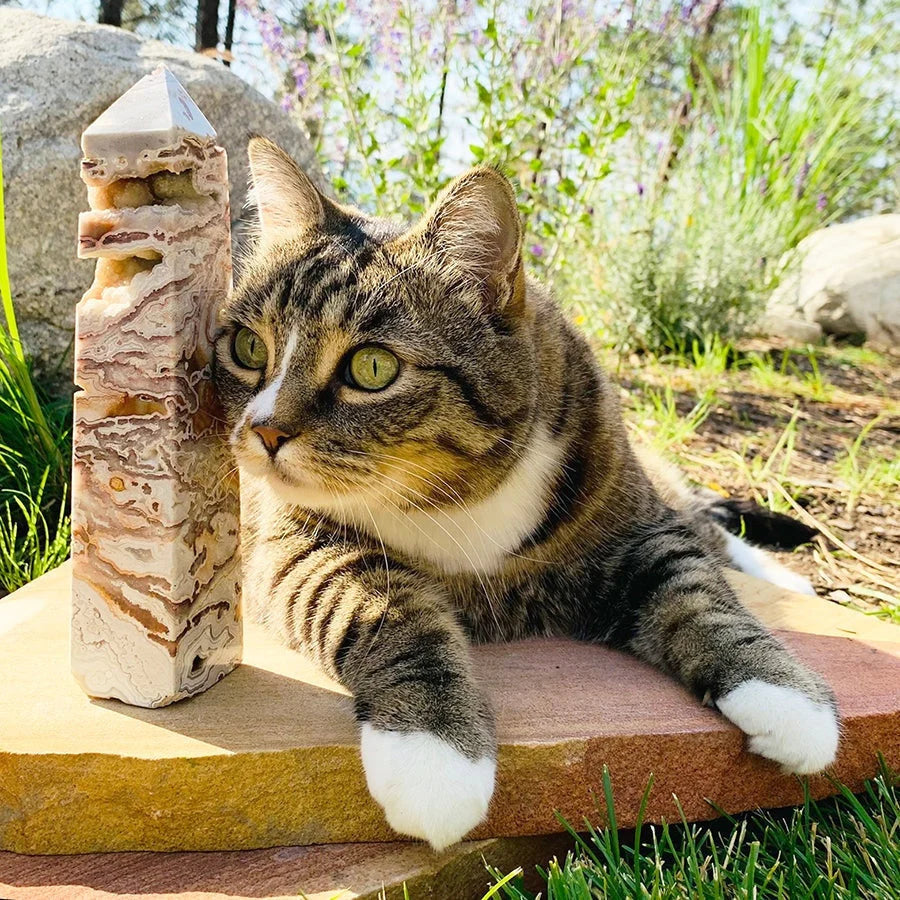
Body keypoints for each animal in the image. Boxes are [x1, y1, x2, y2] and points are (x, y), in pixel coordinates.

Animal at [214, 139, 840, 852]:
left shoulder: (638, 523)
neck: (450, 495)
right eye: (247, 347)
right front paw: (435, 758)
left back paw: (787, 577)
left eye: (372, 368)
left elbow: (699, 592)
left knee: (708, 526)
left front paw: (788, 698)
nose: (263, 430)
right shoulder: (292, 542)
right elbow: (385, 610)